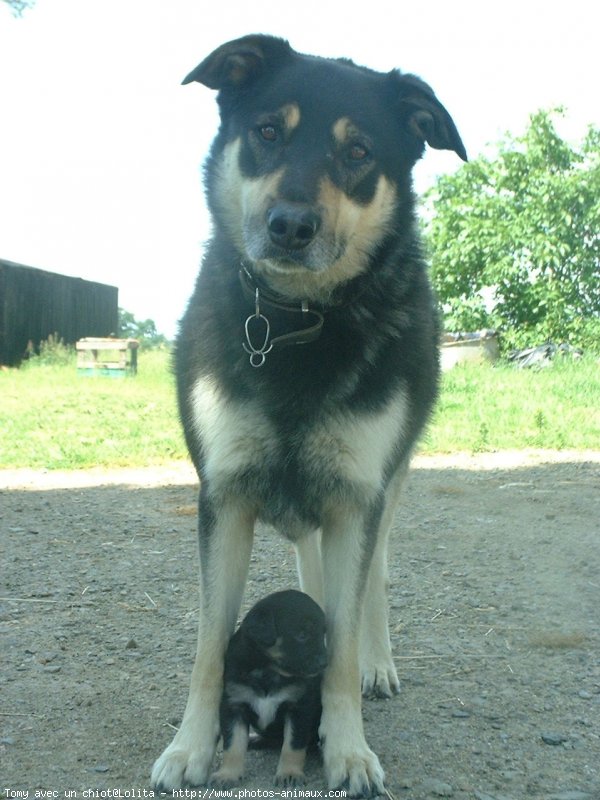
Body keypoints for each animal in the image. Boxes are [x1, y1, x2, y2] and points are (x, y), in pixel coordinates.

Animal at [212, 588, 328, 788]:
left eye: (323, 634)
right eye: (302, 635)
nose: (325, 663)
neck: (268, 671)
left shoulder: (299, 708)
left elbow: (292, 744)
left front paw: (289, 773)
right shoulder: (234, 704)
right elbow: (233, 743)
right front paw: (228, 774)